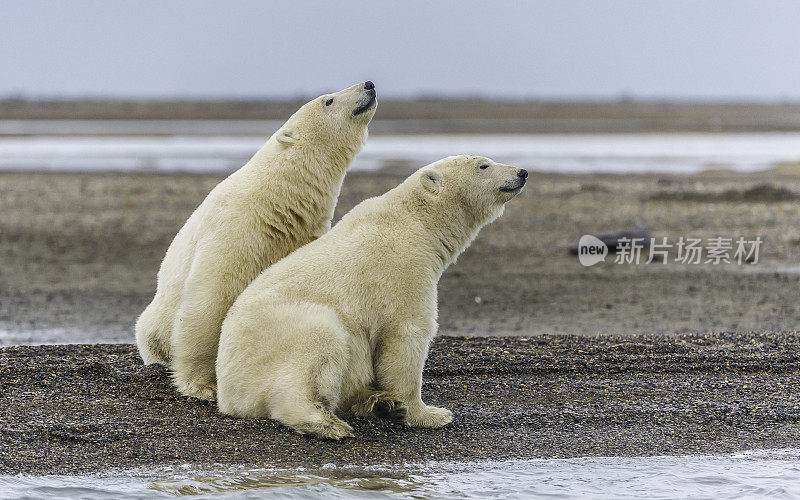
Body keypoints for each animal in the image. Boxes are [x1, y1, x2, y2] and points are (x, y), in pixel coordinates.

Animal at [134, 82, 378, 402]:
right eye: (329, 100)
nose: (369, 84)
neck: (277, 199)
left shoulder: (301, 234)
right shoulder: (236, 228)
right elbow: (210, 298)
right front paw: (203, 385)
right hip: (156, 318)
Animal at [216, 155, 528, 438]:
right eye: (483, 165)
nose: (522, 172)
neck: (417, 223)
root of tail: (227, 394)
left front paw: (401, 406)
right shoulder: (402, 269)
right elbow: (406, 337)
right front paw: (429, 414)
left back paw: (376, 402)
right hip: (278, 337)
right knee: (316, 348)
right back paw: (328, 423)